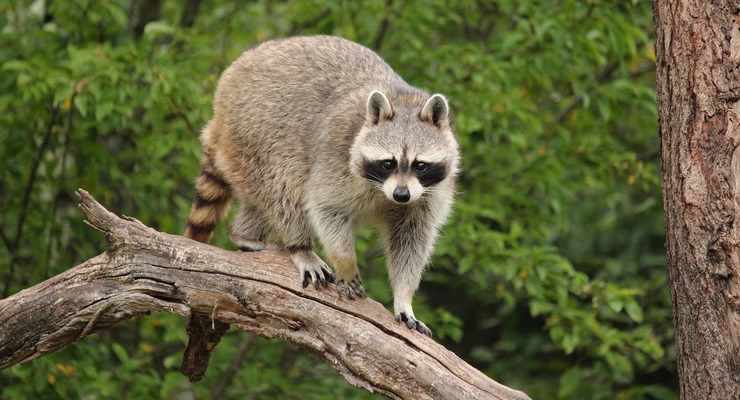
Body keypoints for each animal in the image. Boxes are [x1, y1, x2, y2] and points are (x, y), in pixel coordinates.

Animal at [184, 35, 459, 336]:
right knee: (284, 188)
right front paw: (346, 265)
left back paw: (244, 233)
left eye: (420, 165)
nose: (401, 195)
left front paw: (404, 297)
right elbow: (327, 209)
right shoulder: (336, 157)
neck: (404, 100)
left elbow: (412, 239)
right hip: (255, 132)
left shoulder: (428, 194)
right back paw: (299, 246)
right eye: (388, 163)